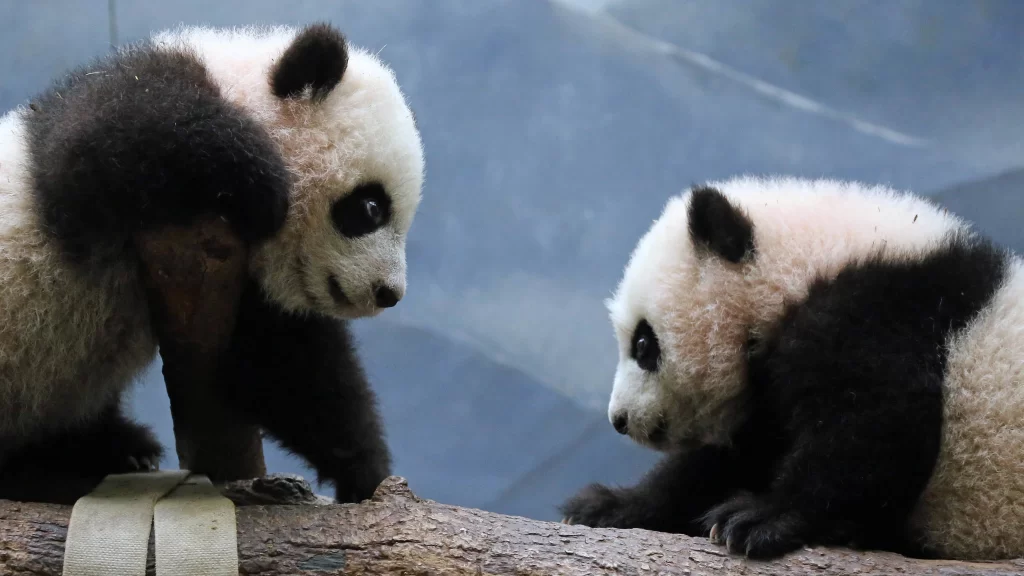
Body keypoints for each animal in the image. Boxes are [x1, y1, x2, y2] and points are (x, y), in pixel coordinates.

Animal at [0, 22, 423, 505]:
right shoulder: (124, 108)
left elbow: (286, 366)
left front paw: (367, 478)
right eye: (371, 208)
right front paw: (265, 184)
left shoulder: (244, 286)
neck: (239, 90)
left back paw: (117, 449)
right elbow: (100, 143)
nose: (388, 293)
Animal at [560, 176, 1024, 561]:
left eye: (643, 345)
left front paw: (757, 519)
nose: (619, 419)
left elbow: (874, 431)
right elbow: (729, 460)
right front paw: (605, 505)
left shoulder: (884, 313)